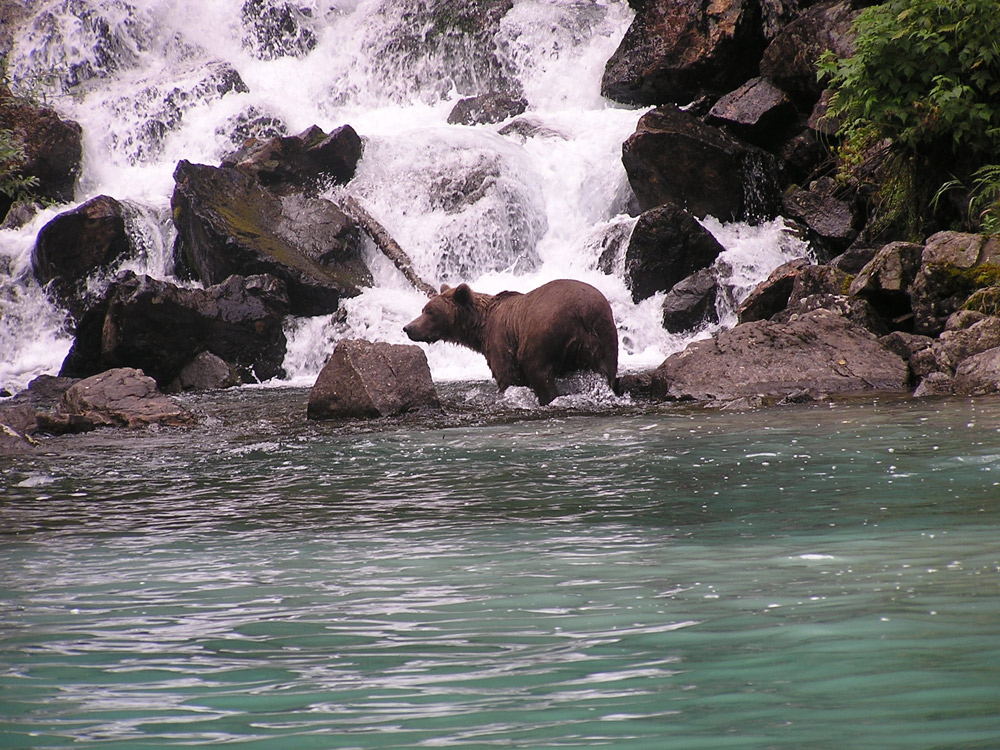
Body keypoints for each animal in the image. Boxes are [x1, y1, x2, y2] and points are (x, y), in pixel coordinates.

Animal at [402, 280, 612, 406]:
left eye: (430, 312)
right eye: (423, 309)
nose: (408, 328)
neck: (480, 327)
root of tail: (583, 311)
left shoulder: (500, 342)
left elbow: (508, 377)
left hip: (544, 332)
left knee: (538, 370)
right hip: (603, 335)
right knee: (606, 372)